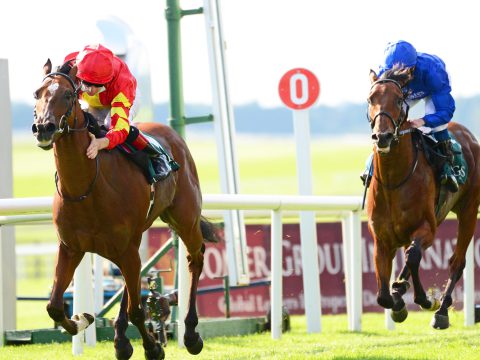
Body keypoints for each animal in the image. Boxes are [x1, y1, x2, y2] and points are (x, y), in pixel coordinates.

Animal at [31, 60, 217, 358]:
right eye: (37, 93)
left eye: (68, 95)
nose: (44, 128)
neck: (87, 187)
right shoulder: (71, 247)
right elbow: (55, 306)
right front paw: (82, 319)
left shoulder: (125, 247)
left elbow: (138, 311)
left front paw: (153, 348)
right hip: (135, 239)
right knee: (133, 284)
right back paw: (120, 340)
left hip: (184, 219)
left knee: (195, 258)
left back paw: (190, 334)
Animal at [366, 67, 480, 330]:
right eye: (370, 99)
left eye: (399, 100)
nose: (382, 137)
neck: (394, 181)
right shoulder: (382, 238)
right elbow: (382, 296)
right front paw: (397, 300)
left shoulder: (427, 228)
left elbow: (413, 256)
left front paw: (426, 299)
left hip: (469, 210)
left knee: (457, 261)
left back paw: (442, 311)